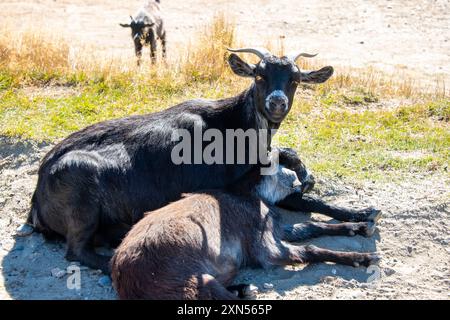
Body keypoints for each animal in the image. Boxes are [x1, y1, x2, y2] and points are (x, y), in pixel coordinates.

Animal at [110, 156, 378, 298]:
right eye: (295, 164)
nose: (310, 182)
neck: (247, 194)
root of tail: (123, 277)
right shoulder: (267, 248)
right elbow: (311, 250)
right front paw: (362, 258)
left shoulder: (275, 231)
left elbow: (311, 226)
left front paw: (360, 226)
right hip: (192, 282)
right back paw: (243, 291)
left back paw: (242, 288)